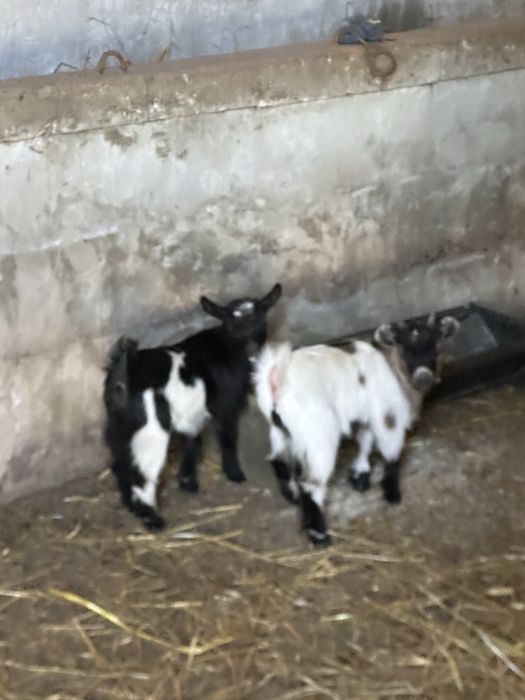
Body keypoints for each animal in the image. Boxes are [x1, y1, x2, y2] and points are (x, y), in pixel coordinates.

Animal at [103, 284, 282, 531]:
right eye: (232, 325)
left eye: (261, 322)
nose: (252, 351)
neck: (227, 349)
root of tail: (124, 374)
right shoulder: (226, 404)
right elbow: (228, 437)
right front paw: (234, 473)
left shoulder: (191, 412)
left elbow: (193, 441)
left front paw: (188, 482)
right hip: (151, 430)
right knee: (143, 472)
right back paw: (153, 519)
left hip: (117, 425)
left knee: (120, 462)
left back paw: (130, 505)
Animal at [254, 313, 460, 546]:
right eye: (405, 348)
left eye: (436, 346)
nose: (424, 377)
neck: (393, 370)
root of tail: (275, 377)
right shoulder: (388, 416)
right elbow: (391, 452)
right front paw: (392, 492)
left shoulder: (366, 416)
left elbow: (365, 442)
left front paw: (360, 476)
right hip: (318, 432)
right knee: (311, 483)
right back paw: (319, 534)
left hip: (282, 430)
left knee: (278, 459)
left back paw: (292, 495)